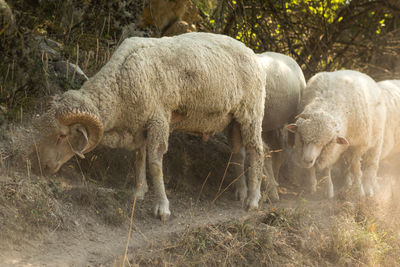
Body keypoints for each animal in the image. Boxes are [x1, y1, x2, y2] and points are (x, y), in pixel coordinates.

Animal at [34, 32, 266, 222]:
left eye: (62, 136)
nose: (42, 166)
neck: (120, 83)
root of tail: (250, 52)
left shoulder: (158, 118)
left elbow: (155, 163)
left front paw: (162, 207)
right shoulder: (140, 124)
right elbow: (139, 157)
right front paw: (139, 191)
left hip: (251, 112)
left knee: (256, 151)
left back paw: (253, 200)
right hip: (233, 119)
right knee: (238, 153)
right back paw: (241, 192)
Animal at [228, 51, 306, 203]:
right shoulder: (234, 124)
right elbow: (238, 154)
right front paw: (241, 191)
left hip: (290, 118)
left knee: (282, 149)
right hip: (270, 124)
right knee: (277, 150)